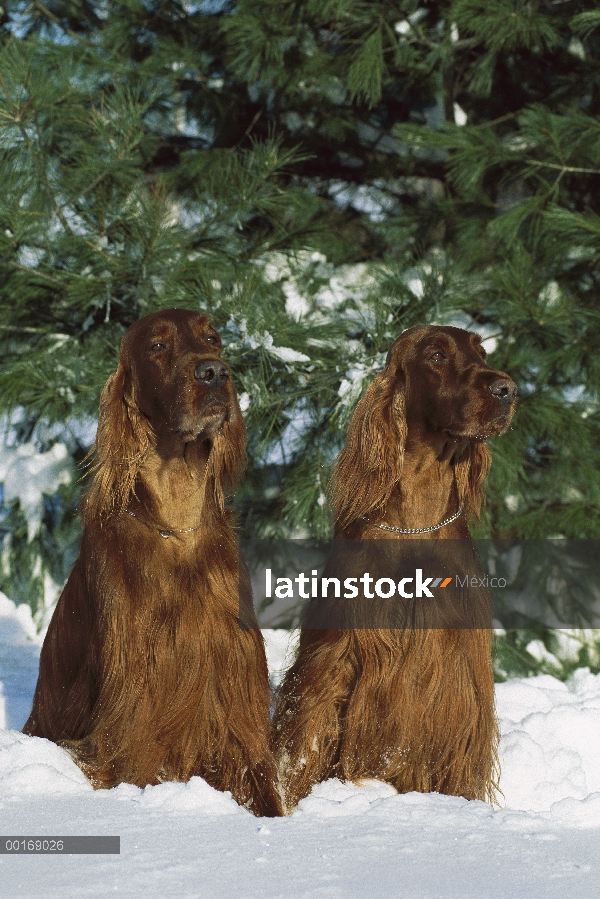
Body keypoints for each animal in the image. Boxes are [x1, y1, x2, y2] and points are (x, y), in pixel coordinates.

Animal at [24, 308, 282, 816]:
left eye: (213, 339)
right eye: (158, 346)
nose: (214, 372)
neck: (176, 524)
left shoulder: (237, 692)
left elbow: (263, 782)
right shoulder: (133, 692)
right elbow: (128, 764)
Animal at [272, 326, 516, 812]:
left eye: (482, 352)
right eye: (437, 355)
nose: (508, 390)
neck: (415, 522)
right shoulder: (336, 650)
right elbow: (306, 736)